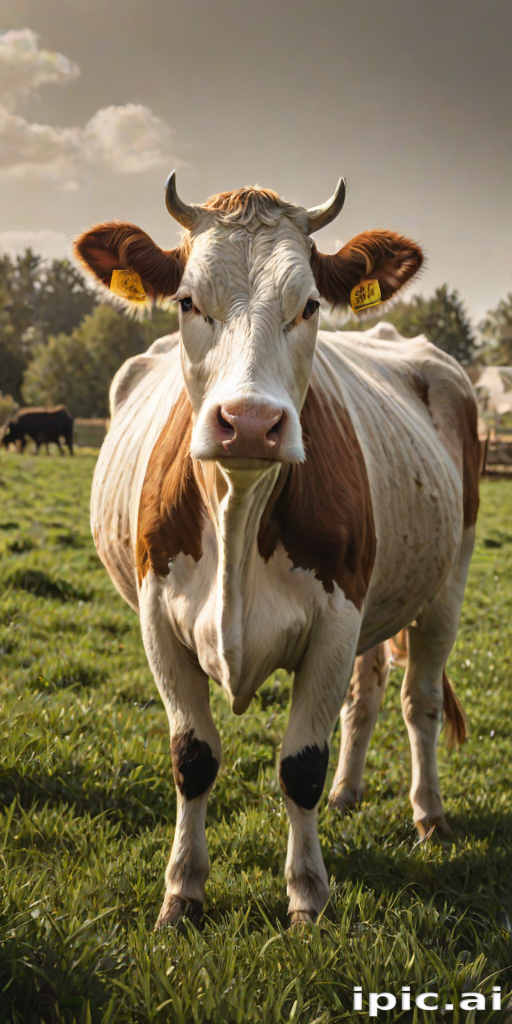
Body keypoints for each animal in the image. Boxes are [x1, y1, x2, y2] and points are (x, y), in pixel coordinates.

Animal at [74, 172, 480, 930]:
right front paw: (182, 893)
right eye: (187, 300)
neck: (240, 506)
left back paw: (429, 815)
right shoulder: (156, 620)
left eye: (310, 304)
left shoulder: (337, 618)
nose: (250, 422)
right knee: (368, 692)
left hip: (448, 580)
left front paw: (307, 897)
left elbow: (300, 766)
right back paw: (350, 795)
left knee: (419, 700)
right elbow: (193, 757)